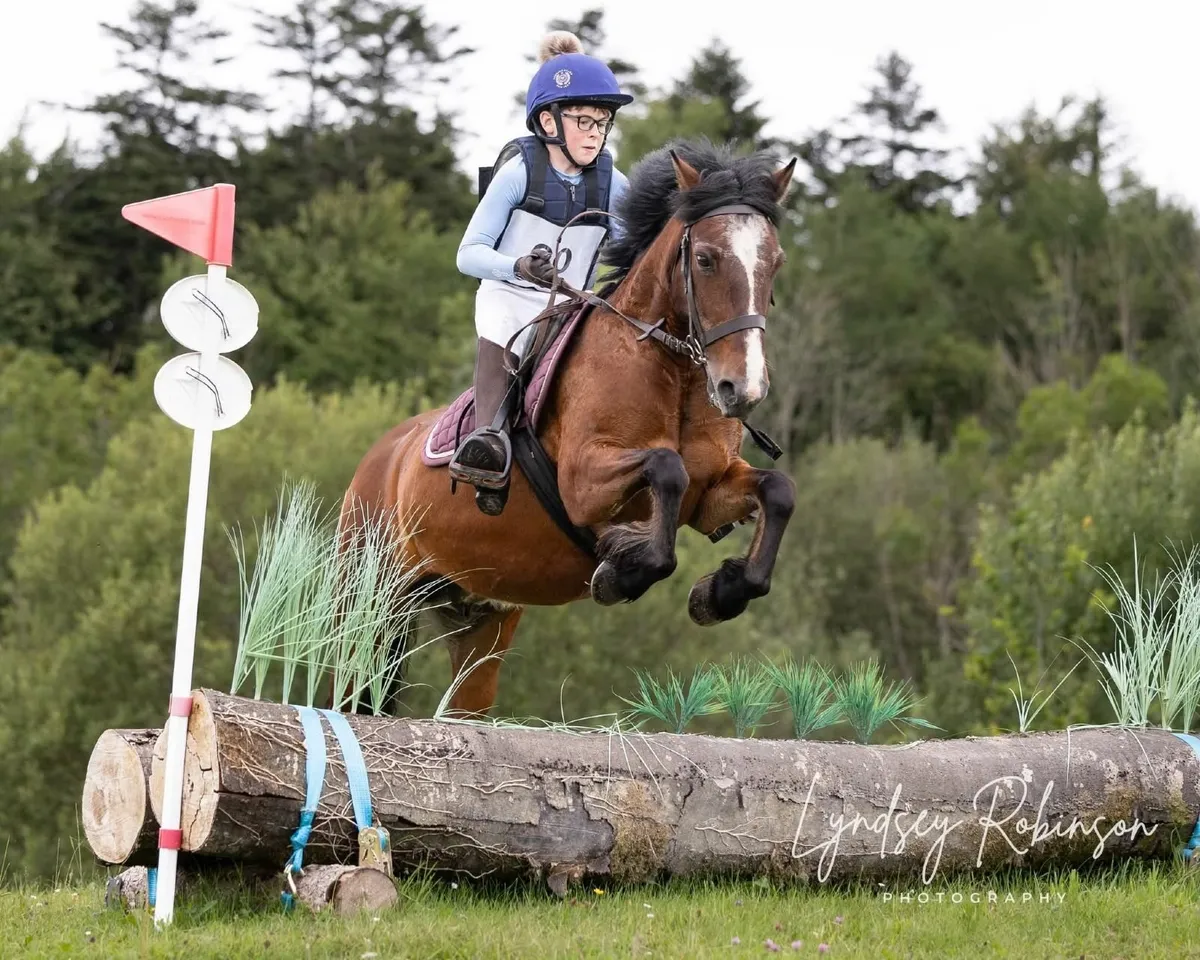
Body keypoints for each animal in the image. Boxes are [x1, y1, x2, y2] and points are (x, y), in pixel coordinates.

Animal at [339, 138, 798, 718]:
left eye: (775, 263)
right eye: (705, 259)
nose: (743, 389)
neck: (673, 373)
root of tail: (377, 459)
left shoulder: (709, 493)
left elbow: (778, 491)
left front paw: (722, 591)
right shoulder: (583, 482)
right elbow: (664, 469)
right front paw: (623, 566)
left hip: (476, 614)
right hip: (367, 596)